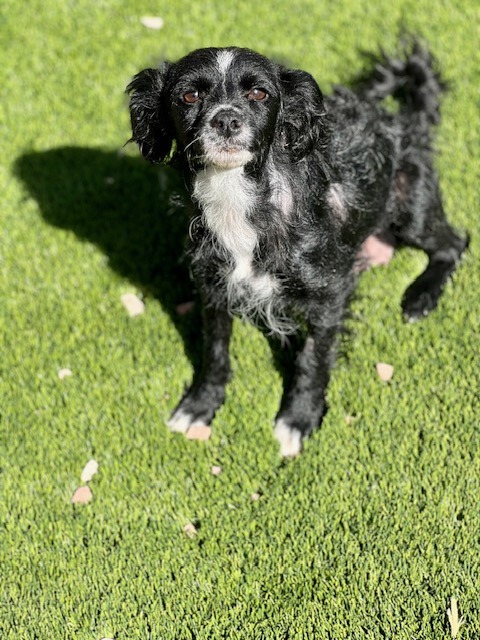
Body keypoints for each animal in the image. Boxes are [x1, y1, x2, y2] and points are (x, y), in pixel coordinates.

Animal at [127, 41, 468, 456]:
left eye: (259, 93)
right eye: (189, 95)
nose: (227, 120)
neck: (238, 201)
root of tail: (407, 121)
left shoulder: (330, 294)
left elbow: (313, 359)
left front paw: (299, 418)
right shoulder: (214, 287)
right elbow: (215, 351)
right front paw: (200, 405)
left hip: (412, 210)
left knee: (455, 244)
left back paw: (420, 297)